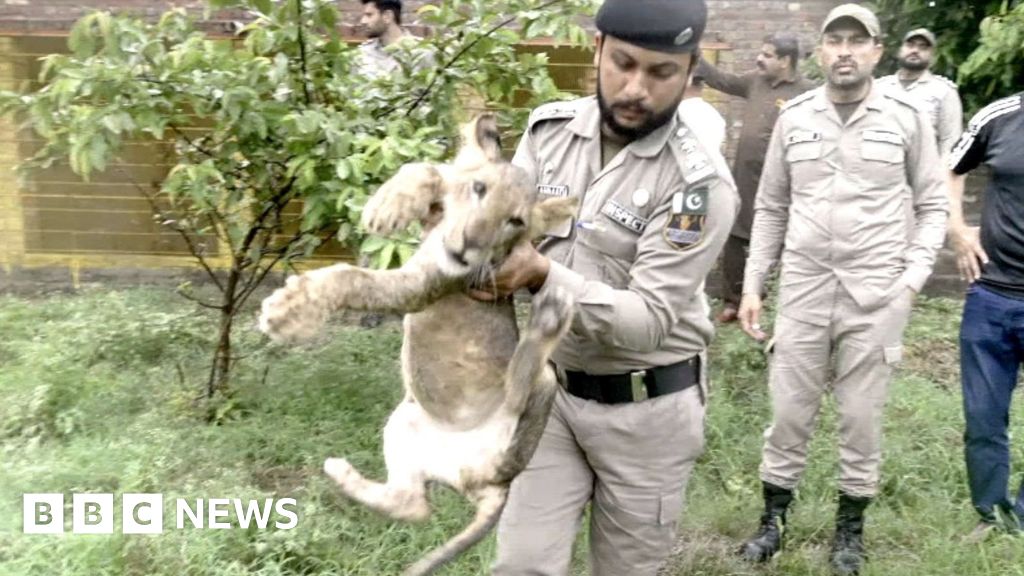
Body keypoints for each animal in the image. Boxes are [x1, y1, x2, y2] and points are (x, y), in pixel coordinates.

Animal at [258, 115, 578, 575]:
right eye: (479, 189)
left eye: (515, 221)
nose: (467, 246)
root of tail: (496, 482)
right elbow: (427, 169)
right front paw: (387, 206)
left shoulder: (424, 285)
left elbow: (352, 279)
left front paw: (285, 312)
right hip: (404, 425)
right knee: (413, 505)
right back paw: (340, 472)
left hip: (533, 397)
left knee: (521, 388)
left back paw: (551, 316)